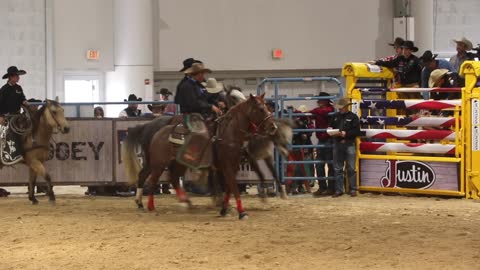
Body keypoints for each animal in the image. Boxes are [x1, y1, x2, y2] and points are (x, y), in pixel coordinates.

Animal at [122, 94, 276, 219]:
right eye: (261, 109)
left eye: (267, 107)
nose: (273, 127)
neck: (228, 134)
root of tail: (157, 131)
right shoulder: (226, 165)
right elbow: (233, 187)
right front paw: (241, 212)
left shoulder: (233, 166)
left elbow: (230, 187)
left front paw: (225, 209)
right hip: (158, 163)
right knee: (152, 180)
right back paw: (150, 206)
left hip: (178, 163)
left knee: (172, 178)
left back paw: (184, 203)